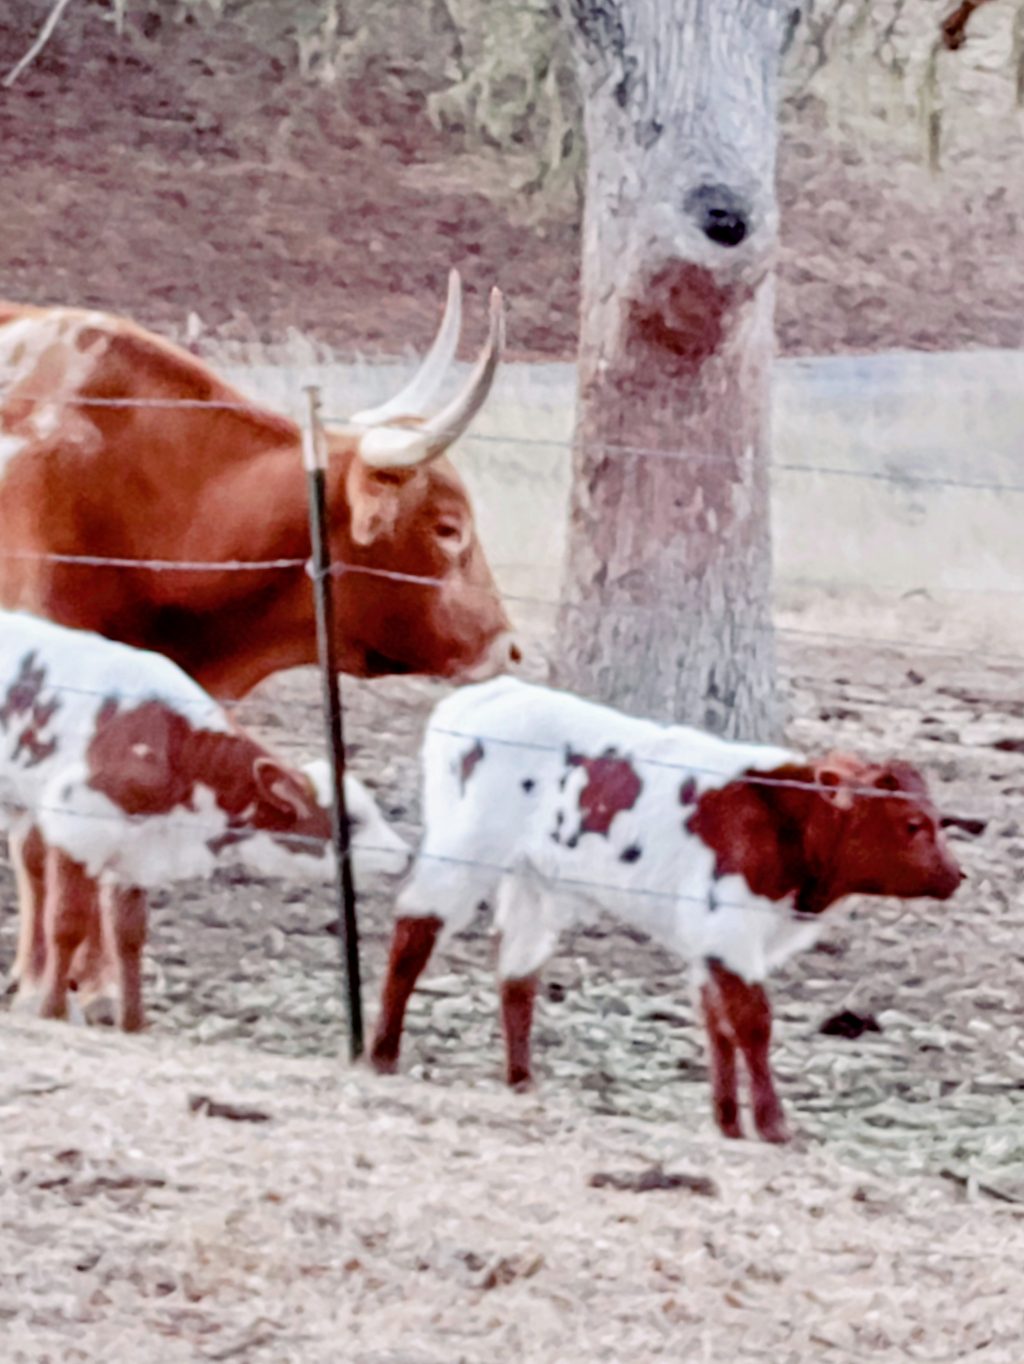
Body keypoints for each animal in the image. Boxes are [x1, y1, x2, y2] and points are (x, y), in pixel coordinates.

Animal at [0, 610, 410, 1032]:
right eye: (352, 819)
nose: (407, 853)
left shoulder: (137, 852)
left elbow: (129, 934)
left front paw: (134, 1024)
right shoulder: (75, 828)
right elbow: (67, 923)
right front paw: (52, 1011)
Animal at [369, 677, 964, 1143]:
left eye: (937, 818)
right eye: (912, 823)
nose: (956, 875)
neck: (780, 820)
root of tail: (485, 693)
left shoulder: (710, 942)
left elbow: (718, 1025)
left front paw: (729, 1123)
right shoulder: (729, 931)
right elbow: (753, 1022)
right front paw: (774, 1126)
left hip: (532, 883)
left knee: (518, 975)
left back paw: (521, 1079)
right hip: (464, 852)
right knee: (414, 932)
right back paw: (381, 1054)